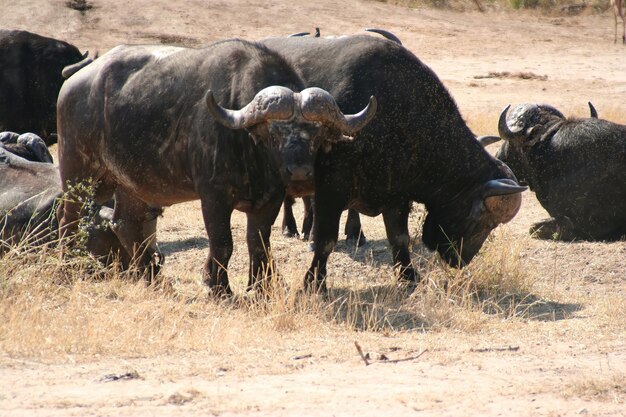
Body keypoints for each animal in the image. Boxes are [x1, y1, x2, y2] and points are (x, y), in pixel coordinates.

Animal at [56, 37, 372, 294]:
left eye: (317, 134)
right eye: (274, 134)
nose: (300, 174)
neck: (249, 148)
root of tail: (73, 84)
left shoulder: (270, 200)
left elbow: (259, 242)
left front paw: (260, 288)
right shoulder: (213, 197)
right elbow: (222, 242)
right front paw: (219, 288)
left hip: (129, 183)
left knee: (126, 224)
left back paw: (154, 279)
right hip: (79, 174)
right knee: (68, 218)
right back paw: (65, 268)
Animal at [260, 34, 528, 290]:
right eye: (485, 222)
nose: (461, 260)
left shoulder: (397, 194)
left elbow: (400, 238)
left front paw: (408, 275)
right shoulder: (331, 190)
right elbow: (326, 241)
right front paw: (315, 281)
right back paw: (293, 228)